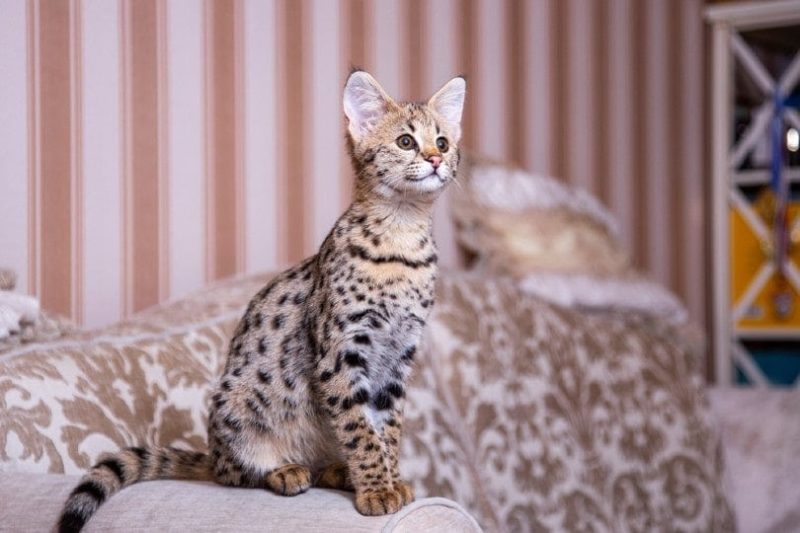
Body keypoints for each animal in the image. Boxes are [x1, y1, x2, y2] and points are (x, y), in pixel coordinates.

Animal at [57, 68, 462, 528]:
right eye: (406, 141)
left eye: (443, 142)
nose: (435, 160)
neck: (403, 238)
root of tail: (211, 454)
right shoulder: (341, 354)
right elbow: (361, 430)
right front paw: (377, 489)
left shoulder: (397, 359)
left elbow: (387, 429)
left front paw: (390, 480)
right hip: (234, 403)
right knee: (233, 473)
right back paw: (284, 470)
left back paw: (336, 471)